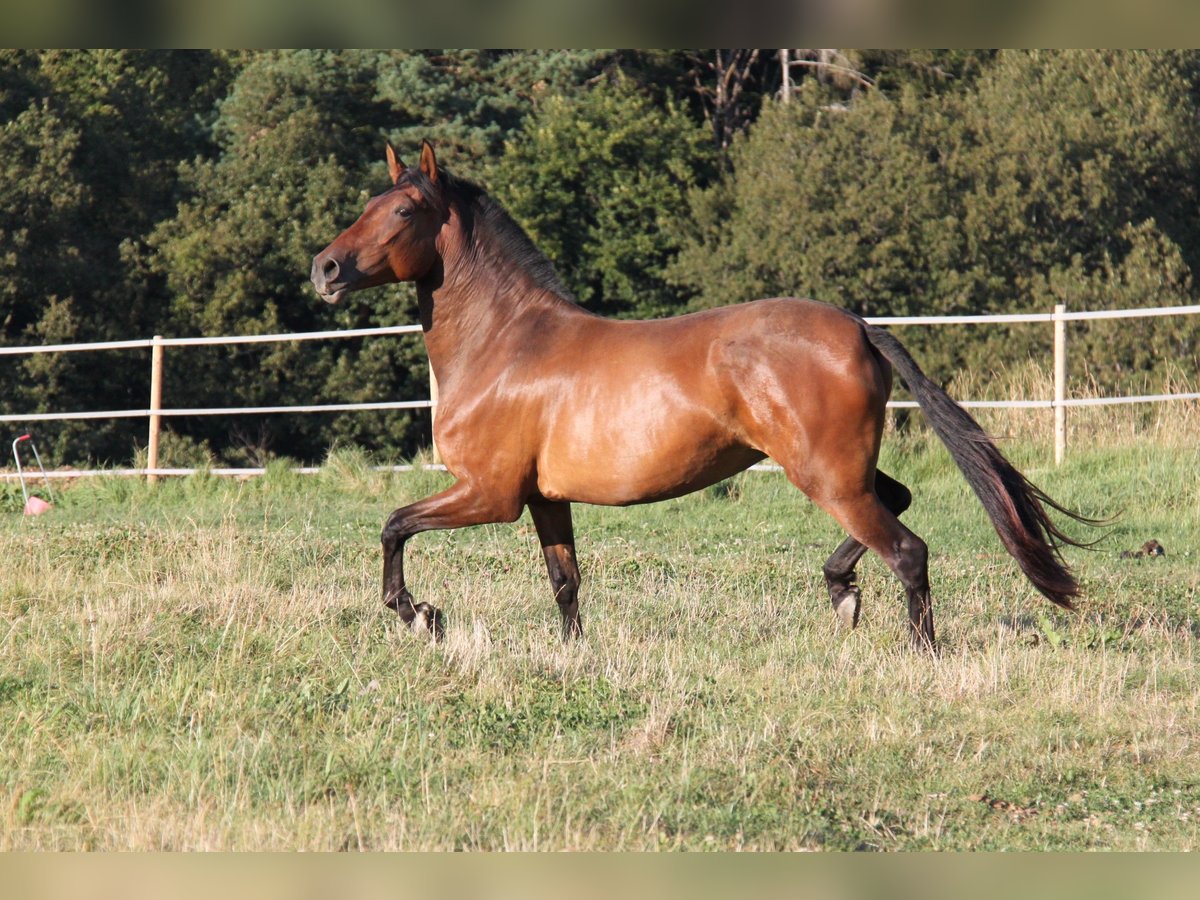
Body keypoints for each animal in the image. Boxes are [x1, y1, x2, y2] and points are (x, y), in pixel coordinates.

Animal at [312, 141, 1099, 652]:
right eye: (370, 202)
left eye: (405, 210)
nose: (324, 269)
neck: (507, 345)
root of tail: (858, 328)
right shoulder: (543, 498)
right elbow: (565, 582)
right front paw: (571, 657)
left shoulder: (488, 493)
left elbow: (393, 525)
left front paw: (419, 615)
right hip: (841, 470)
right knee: (897, 505)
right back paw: (841, 592)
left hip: (824, 475)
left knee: (907, 549)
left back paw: (918, 650)